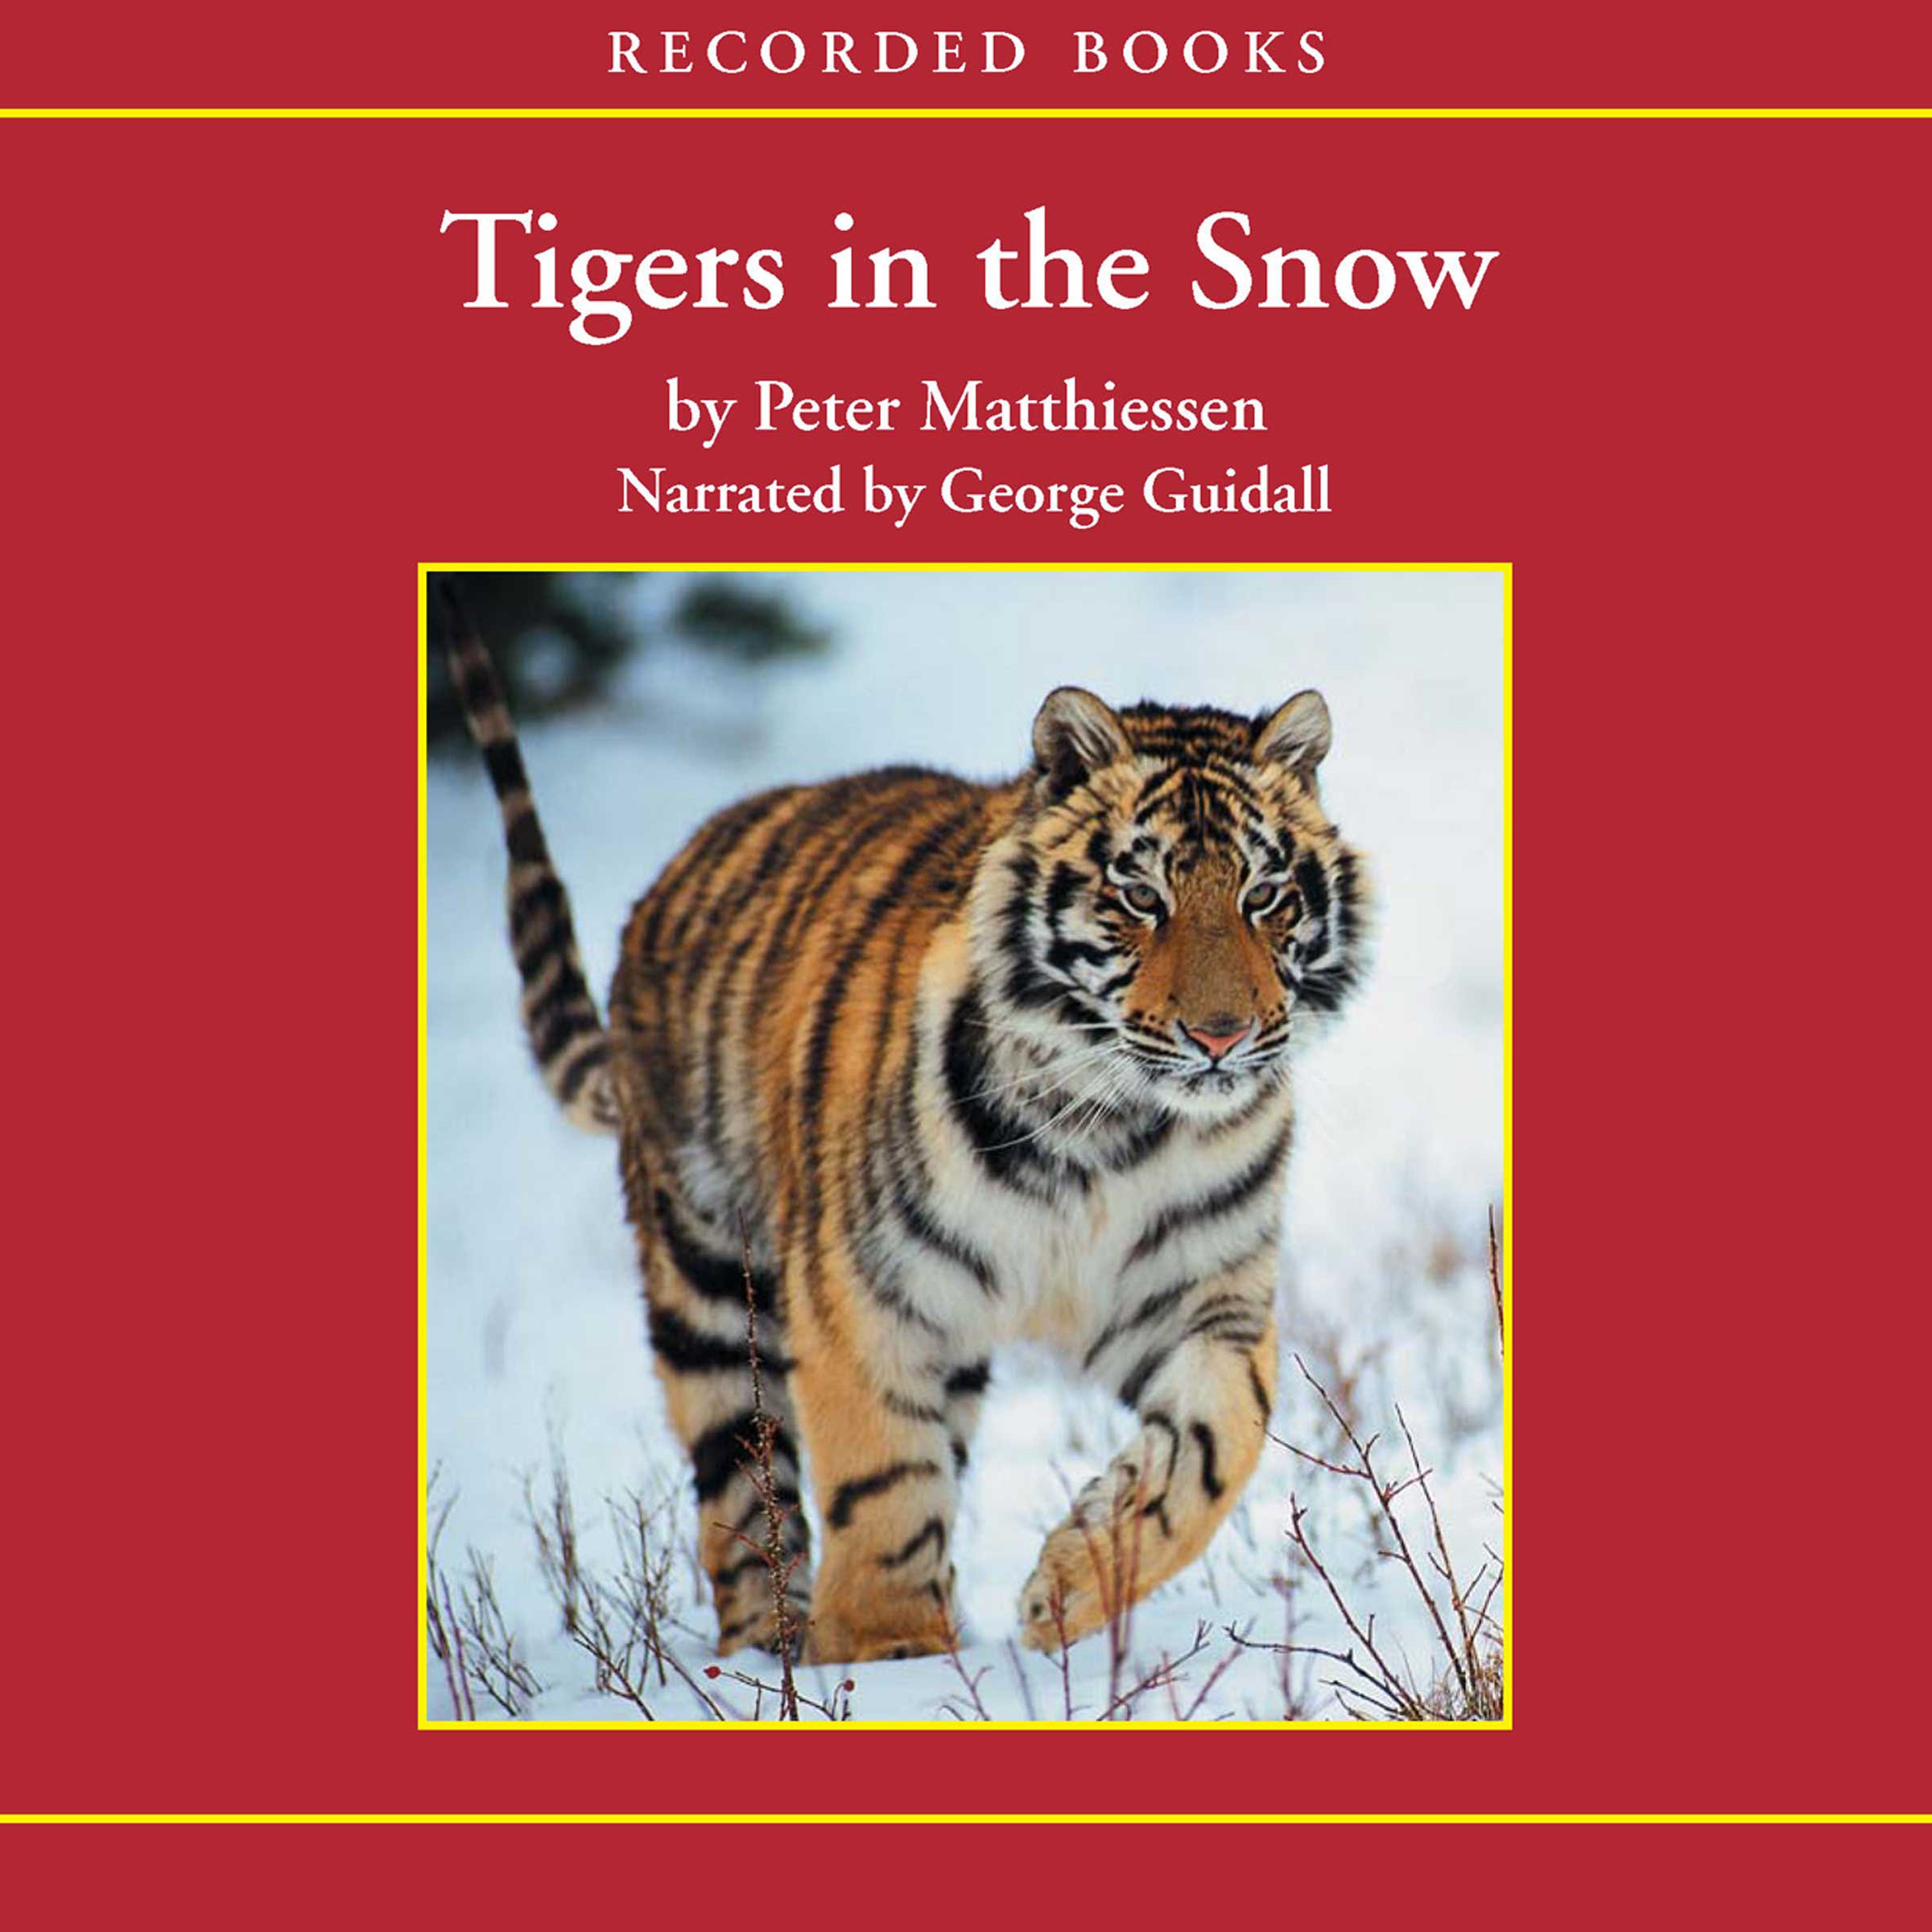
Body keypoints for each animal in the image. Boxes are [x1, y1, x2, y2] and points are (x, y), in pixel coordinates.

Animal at [442, 595, 1369, 1665]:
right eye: (1142, 898)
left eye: (1264, 897)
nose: (1222, 1036)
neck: (1110, 1126)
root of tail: (668, 881)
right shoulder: (867, 1292)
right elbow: (884, 1479)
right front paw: (893, 1656)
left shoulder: (1199, 1294)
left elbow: (1220, 1442)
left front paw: (1069, 1587)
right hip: (709, 1287)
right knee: (741, 1499)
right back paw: (767, 1654)